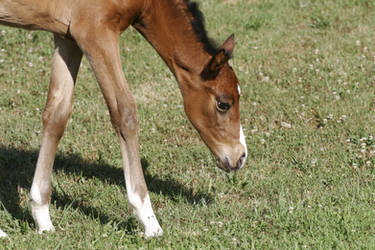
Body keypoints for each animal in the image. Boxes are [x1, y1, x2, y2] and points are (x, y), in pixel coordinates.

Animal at [0, 0, 248, 237]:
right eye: (223, 104)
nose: (240, 157)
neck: (149, 3)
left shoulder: (67, 35)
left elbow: (57, 114)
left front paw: (42, 216)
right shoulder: (95, 32)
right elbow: (124, 111)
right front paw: (149, 221)